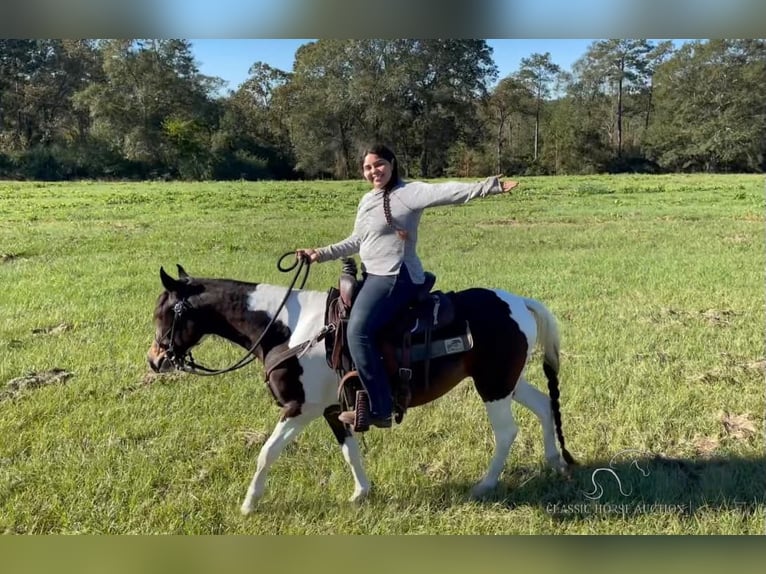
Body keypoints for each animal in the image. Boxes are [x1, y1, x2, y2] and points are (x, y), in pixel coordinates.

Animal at [147, 264, 576, 516]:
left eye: (163, 313)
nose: (155, 360)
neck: (288, 329)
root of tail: (517, 302)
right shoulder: (333, 408)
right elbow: (350, 450)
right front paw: (361, 493)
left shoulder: (299, 409)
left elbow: (267, 453)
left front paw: (249, 504)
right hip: (506, 382)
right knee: (542, 405)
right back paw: (555, 461)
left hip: (492, 386)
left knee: (506, 432)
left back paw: (484, 485)